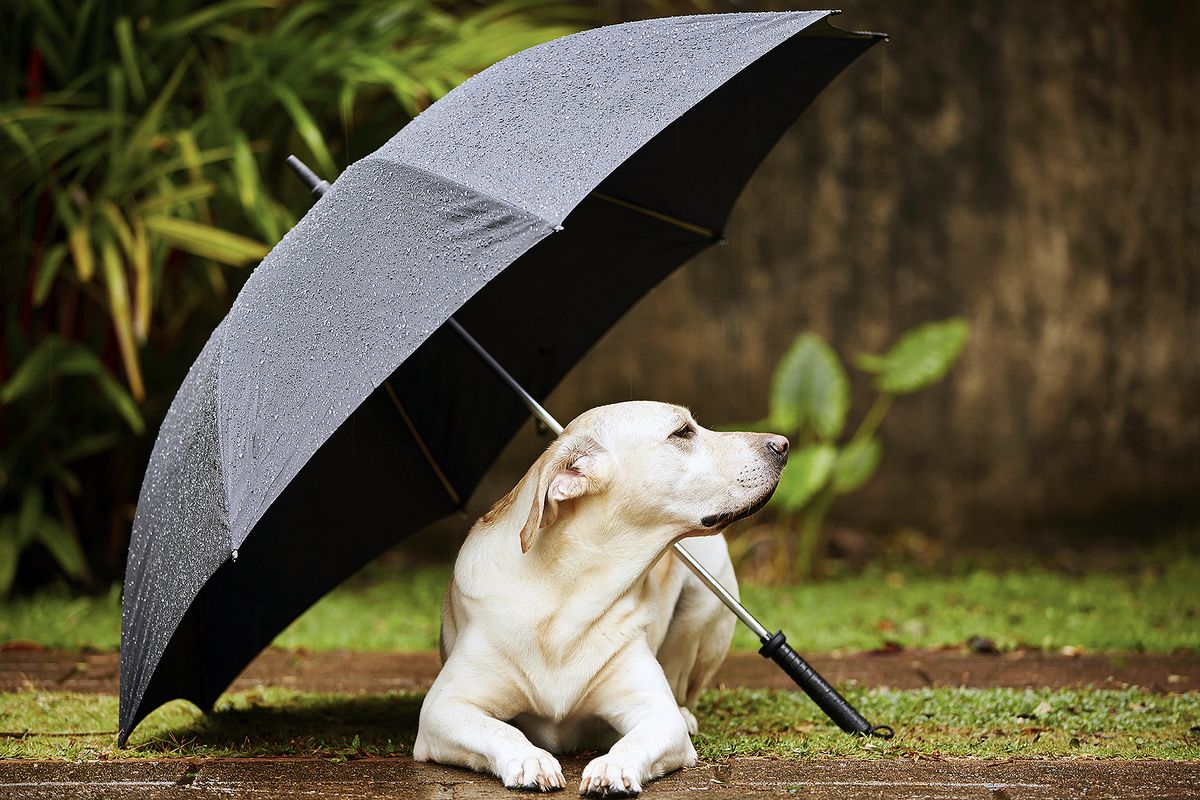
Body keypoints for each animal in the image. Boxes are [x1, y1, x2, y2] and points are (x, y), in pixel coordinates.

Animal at [412, 402, 787, 791]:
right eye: (682, 432)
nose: (783, 444)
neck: (568, 595)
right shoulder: (443, 708)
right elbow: (501, 730)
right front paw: (530, 758)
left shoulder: (657, 713)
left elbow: (640, 737)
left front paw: (614, 766)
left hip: (703, 610)